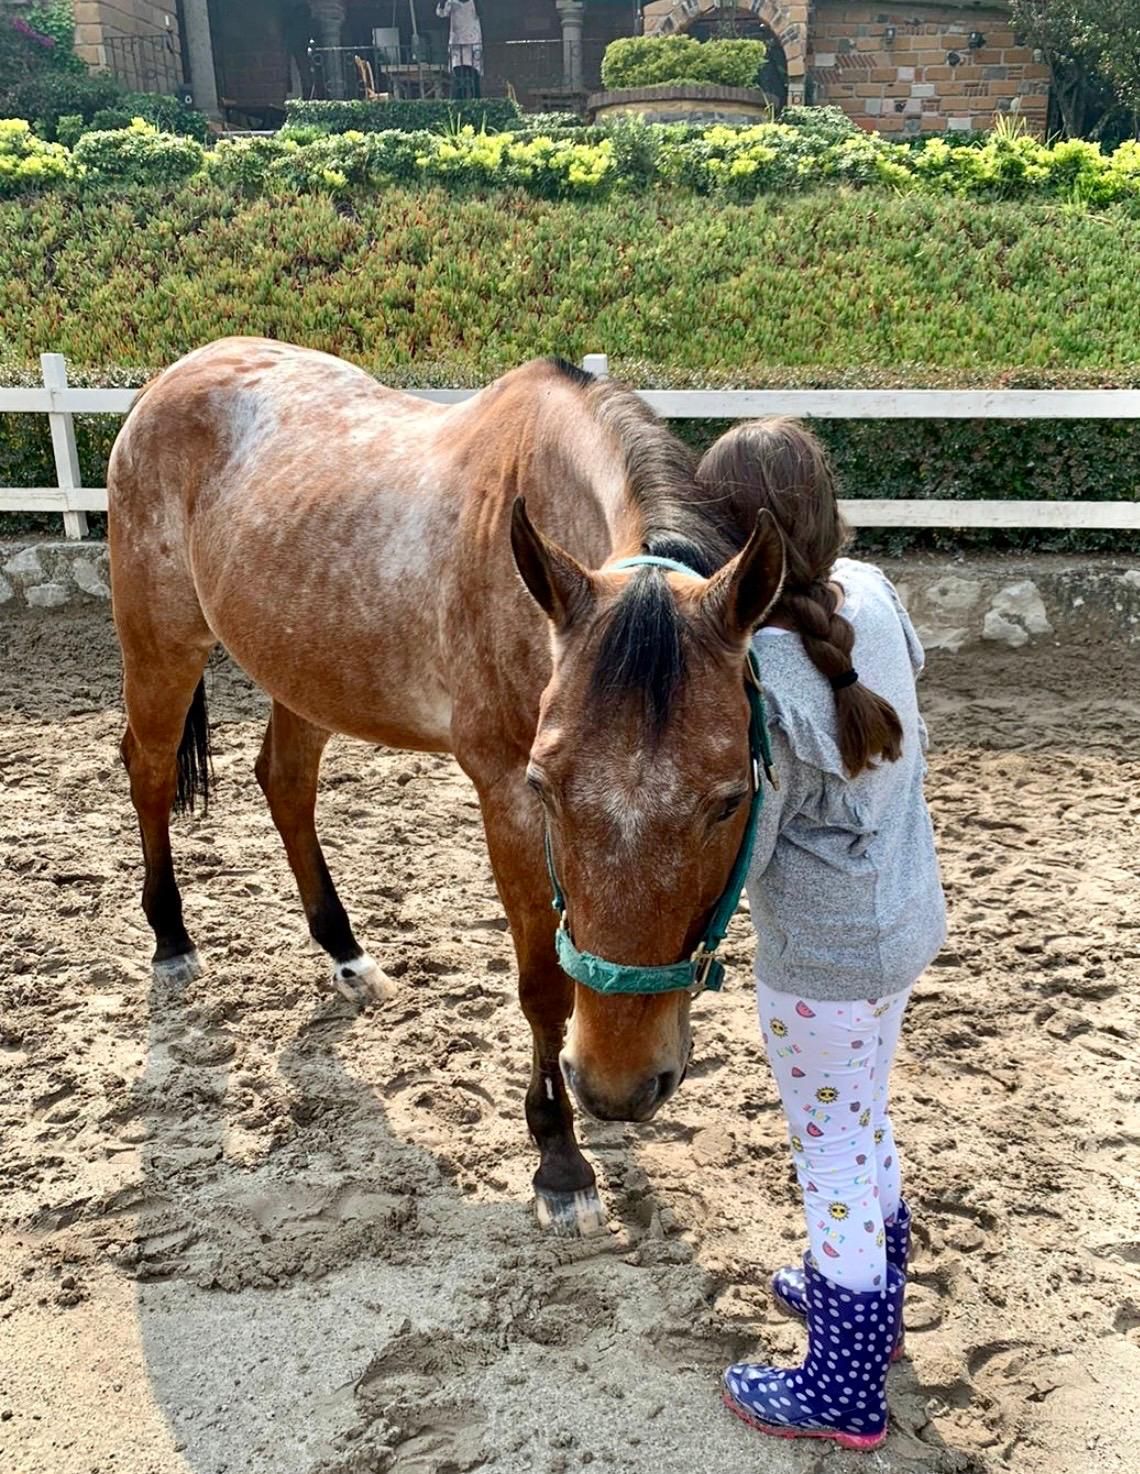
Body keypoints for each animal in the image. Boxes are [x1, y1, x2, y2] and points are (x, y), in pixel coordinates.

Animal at [107, 338, 785, 1236]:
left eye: (730, 799)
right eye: (547, 788)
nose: (618, 1085)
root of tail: (177, 375)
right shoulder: (504, 799)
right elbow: (543, 987)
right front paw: (560, 1161)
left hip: (305, 673)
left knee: (284, 784)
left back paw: (346, 954)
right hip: (162, 644)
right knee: (148, 773)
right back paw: (172, 941)